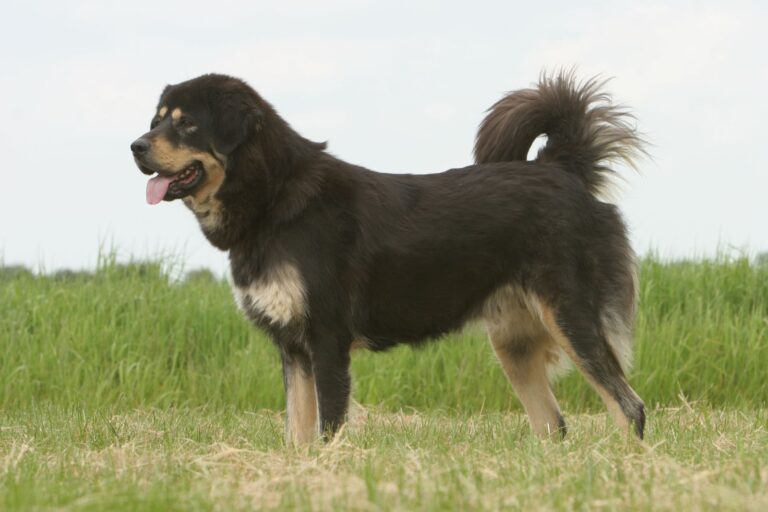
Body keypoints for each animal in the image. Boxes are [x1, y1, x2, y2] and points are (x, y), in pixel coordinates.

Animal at [132, 72, 648, 444]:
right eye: (156, 121)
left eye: (186, 123)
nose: (135, 146)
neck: (275, 198)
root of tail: (563, 169)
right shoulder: (293, 348)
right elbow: (296, 434)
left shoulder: (326, 339)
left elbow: (328, 429)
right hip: (514, 343)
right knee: (553, 426)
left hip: (572, 319)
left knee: (629, 408)